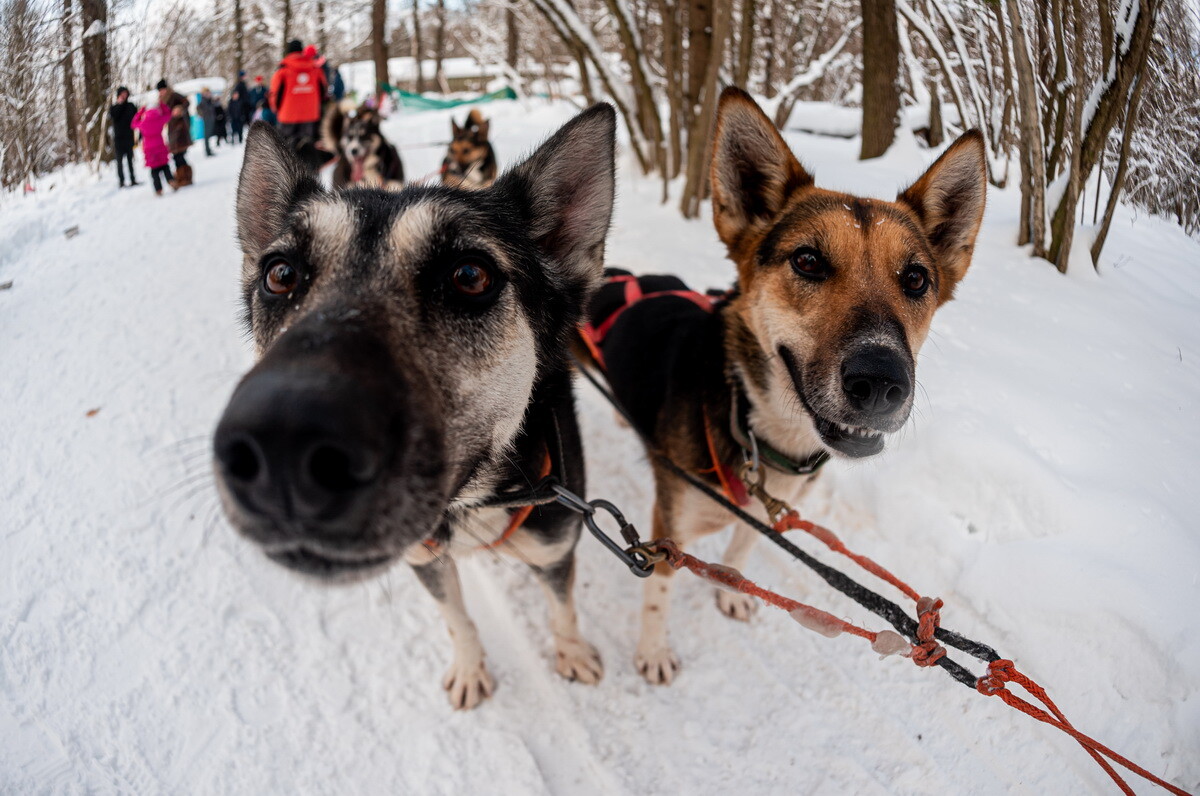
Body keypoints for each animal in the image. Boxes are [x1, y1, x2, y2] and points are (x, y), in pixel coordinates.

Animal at [213, 107, 619, 710]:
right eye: (280, 273)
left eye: (469, 275)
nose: (281, 441)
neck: (473, 503)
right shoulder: (427, 560)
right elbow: (457, 618)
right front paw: (471, 667)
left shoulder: (555, 546)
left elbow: (562, 609)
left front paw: (571, 652)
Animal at [578, 87, 984, 686]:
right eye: (808, 260)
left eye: (916, 278)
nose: (881, 382)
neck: (755, 427)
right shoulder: (665, 532)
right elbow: (659, 592)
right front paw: (653, 651)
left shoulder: (765, 515)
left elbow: (742, 547)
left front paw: (731, 592)